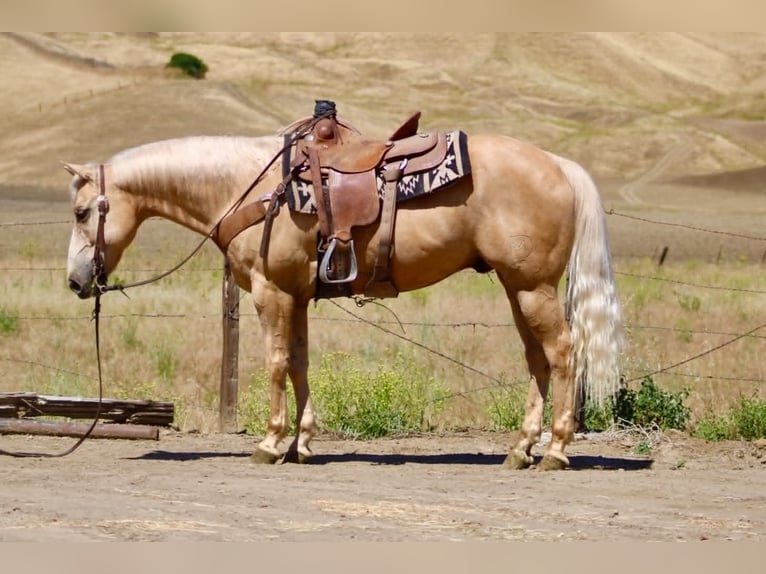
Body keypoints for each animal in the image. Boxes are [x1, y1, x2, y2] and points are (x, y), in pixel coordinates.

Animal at [64, 125, 623, 471]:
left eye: (80, 211)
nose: (75, 281)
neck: (249, 187)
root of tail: (558, 164)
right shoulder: (295, 294)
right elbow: (299, 363)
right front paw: (303, 443)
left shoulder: (271, 291)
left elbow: (274, 363)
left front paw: (270, 442)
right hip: (518, 287)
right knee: (537, 359)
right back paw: (521, 448)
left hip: (532, 288)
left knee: (562, 354)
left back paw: (555, 450)